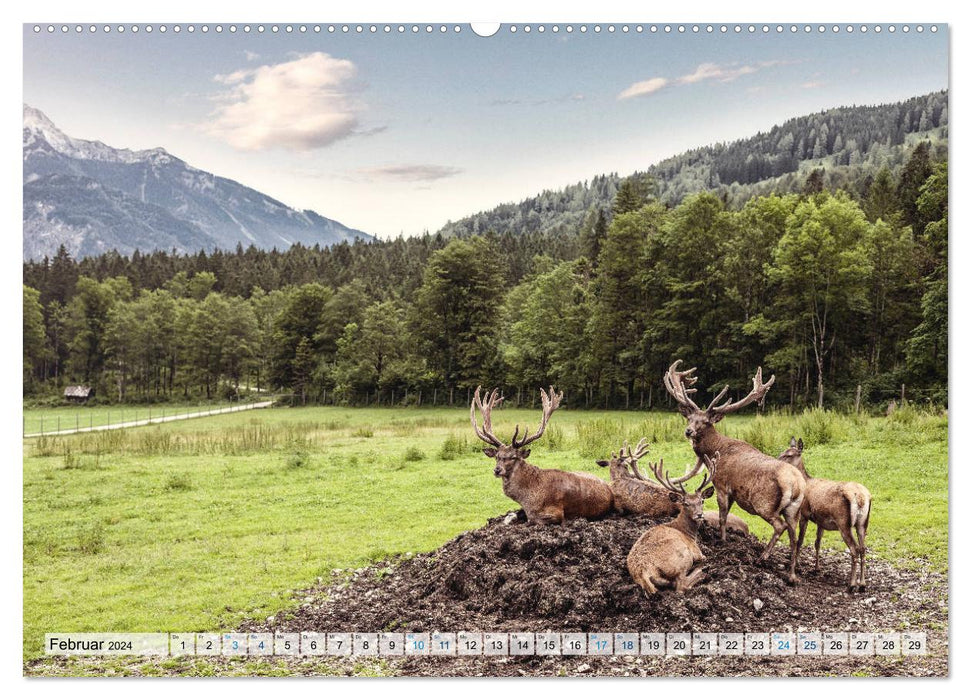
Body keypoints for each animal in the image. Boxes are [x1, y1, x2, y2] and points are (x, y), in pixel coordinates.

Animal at [472, 386, 616, 524]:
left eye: (513, 457)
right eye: (497, 456)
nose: (497, 470)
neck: (526, 498)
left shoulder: (555, 512)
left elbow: (532, 520)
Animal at [632, 454, 720, 596]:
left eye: (702, 501)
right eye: (685, 503)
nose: (699, 515)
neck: (688, 533)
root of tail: (643, 572)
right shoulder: (696, 551)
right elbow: (704, 557)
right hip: (681, 556)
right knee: (681, 586)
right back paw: (702, 572)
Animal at [664, 360, 808, 584]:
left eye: (705, 422)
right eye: (689, 419)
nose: (688, 431)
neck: (717, 449)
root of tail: (797, 484)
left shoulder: (722, 484)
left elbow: (722, 516)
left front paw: (722, 541)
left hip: (763, 503)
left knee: (780, 527)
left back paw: (762, 557)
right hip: (794, 509)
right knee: (794, 536)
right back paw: (791, 574)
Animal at [784, 438, 872, 592]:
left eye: (789, 455)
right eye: (782, 451)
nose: (777, 460)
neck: (806, 481)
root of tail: (861, 497)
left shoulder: (804, 513)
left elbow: (800, 540)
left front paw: (798, 565)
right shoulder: (821, 521)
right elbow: (817, 542)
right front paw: (816, 568)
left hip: (843, 522)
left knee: (854, 549)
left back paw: (851, 584)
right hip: (863, 523)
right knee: (863, 548)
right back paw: (862, 584)